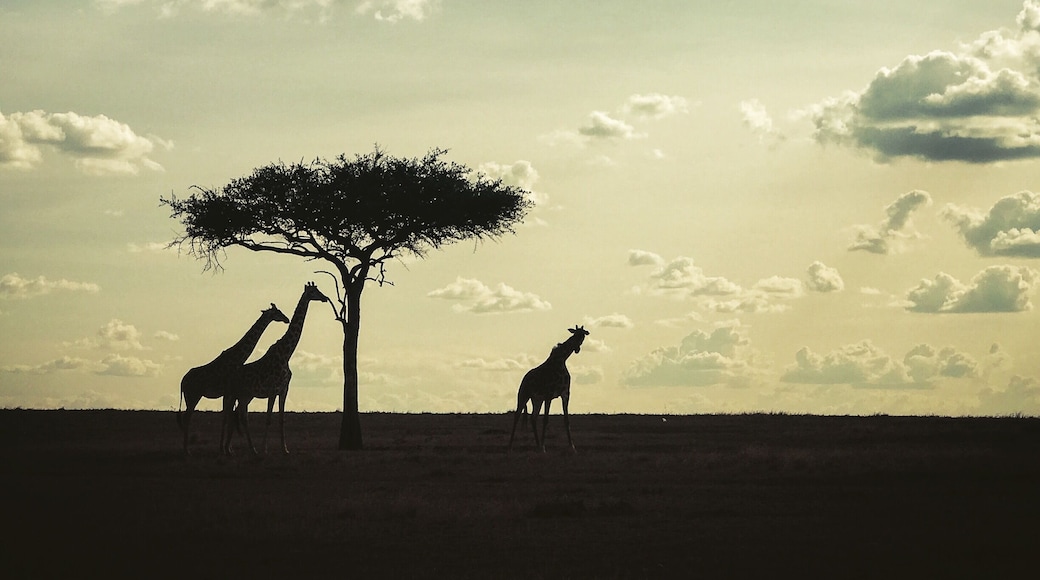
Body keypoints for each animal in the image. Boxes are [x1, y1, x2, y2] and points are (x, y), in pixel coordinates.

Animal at [178, 303, 289, 455]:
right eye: (277, 312)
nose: (287, 319)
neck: (237, 358)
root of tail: (182, 382)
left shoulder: (230, 394)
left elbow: (229, 418)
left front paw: (228, 449)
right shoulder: (228, 392)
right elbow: (227, 418)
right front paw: (224, 449)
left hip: (191, 397)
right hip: (193, 396)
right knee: (187, 418)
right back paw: (186, 450)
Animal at [221, 282, 329, 455]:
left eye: (318, 290)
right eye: (313, 291)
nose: (325, 298)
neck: (286, 354)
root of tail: (231, 375)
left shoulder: (284, 389)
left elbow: (281, 419)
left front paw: (284, 449)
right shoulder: (272, 389)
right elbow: (268, 419)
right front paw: (265, 449)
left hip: (245, 396)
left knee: (239, 417)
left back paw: (244, 449)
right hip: (235, 394)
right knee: (231, 417)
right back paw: (230, 449)